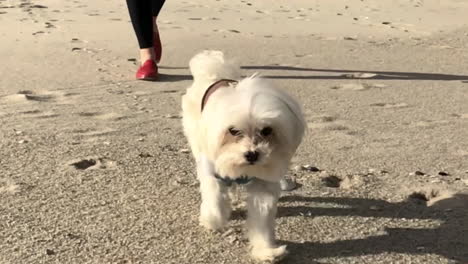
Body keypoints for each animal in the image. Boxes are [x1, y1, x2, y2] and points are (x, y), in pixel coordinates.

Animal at [181, 50, 306, 262]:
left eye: (266, 130)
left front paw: (266, 251)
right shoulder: (212, 172)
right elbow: (214, 197)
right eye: (233, 131)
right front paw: (213, 219)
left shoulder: (263, 186)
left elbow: (262, 221)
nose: (252, 154)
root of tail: (214, 70)